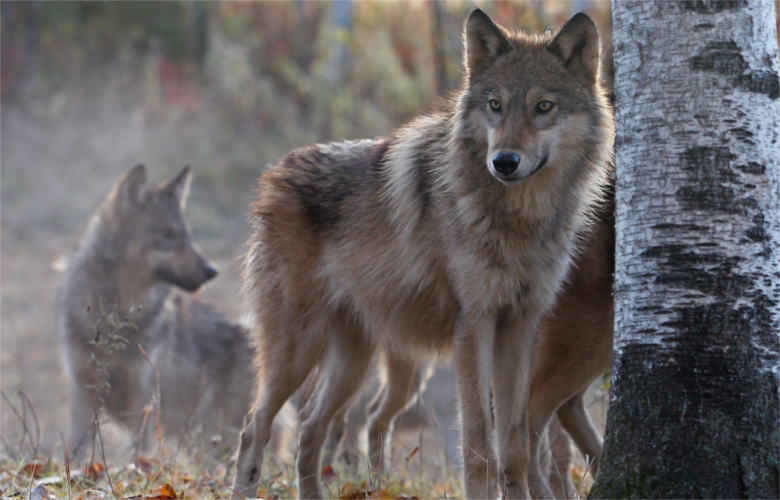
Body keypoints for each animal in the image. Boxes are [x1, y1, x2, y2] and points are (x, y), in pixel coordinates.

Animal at [58, 165, 254, 459]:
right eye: (168, 235)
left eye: (187, 235)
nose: (213, 271)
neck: (117, 313)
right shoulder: (83, 392)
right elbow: (79, 452)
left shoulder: (145, 401)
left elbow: (139, 455)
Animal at [233, 8, 613, 499]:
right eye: (495, 105)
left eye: (543, 107)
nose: (504, 162)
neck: (519, 219)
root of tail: (277, 170)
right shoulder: (475, 325)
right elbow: (479, 446)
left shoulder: (520, 325)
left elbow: (515, 445)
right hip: (298, 352)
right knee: (255, 426)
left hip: (351, 365)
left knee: (309, 428)